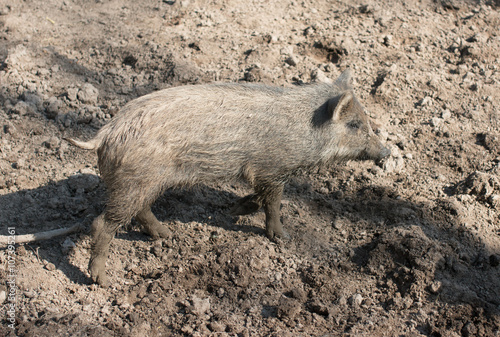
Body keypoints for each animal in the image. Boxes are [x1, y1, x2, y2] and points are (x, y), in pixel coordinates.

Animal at [66, 69, 390, 284]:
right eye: (354, 124)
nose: (386, 151)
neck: (304, 131)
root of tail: (104, 134)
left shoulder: (263, 173)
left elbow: (259, 198)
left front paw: (235, 209)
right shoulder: (271, 169)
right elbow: (273, 204)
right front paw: (282, 237)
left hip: (144, 183)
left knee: (140, 210)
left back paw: (166, 235)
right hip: (133, 182)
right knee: (102, 224)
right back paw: (102, 280)